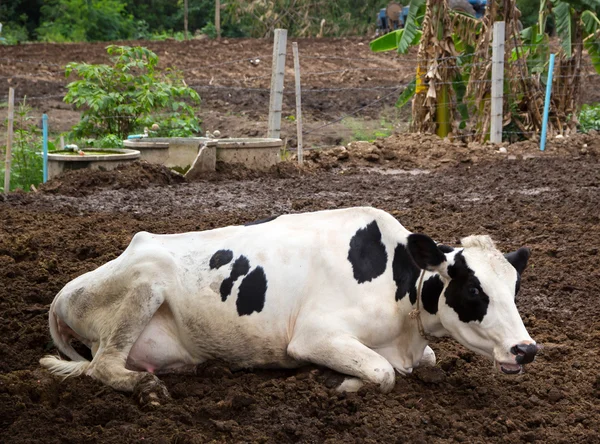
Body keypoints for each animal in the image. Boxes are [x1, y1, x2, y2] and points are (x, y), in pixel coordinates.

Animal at [39, 206, 536, 404]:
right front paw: (340, 382)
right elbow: (381, 373)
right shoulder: (315, 336)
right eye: (474, 291)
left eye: (513, 290)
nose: (526, 350)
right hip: (146, 281)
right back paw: (147, 387)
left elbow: (421, 362)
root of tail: (64, 293)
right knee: (102, 365)